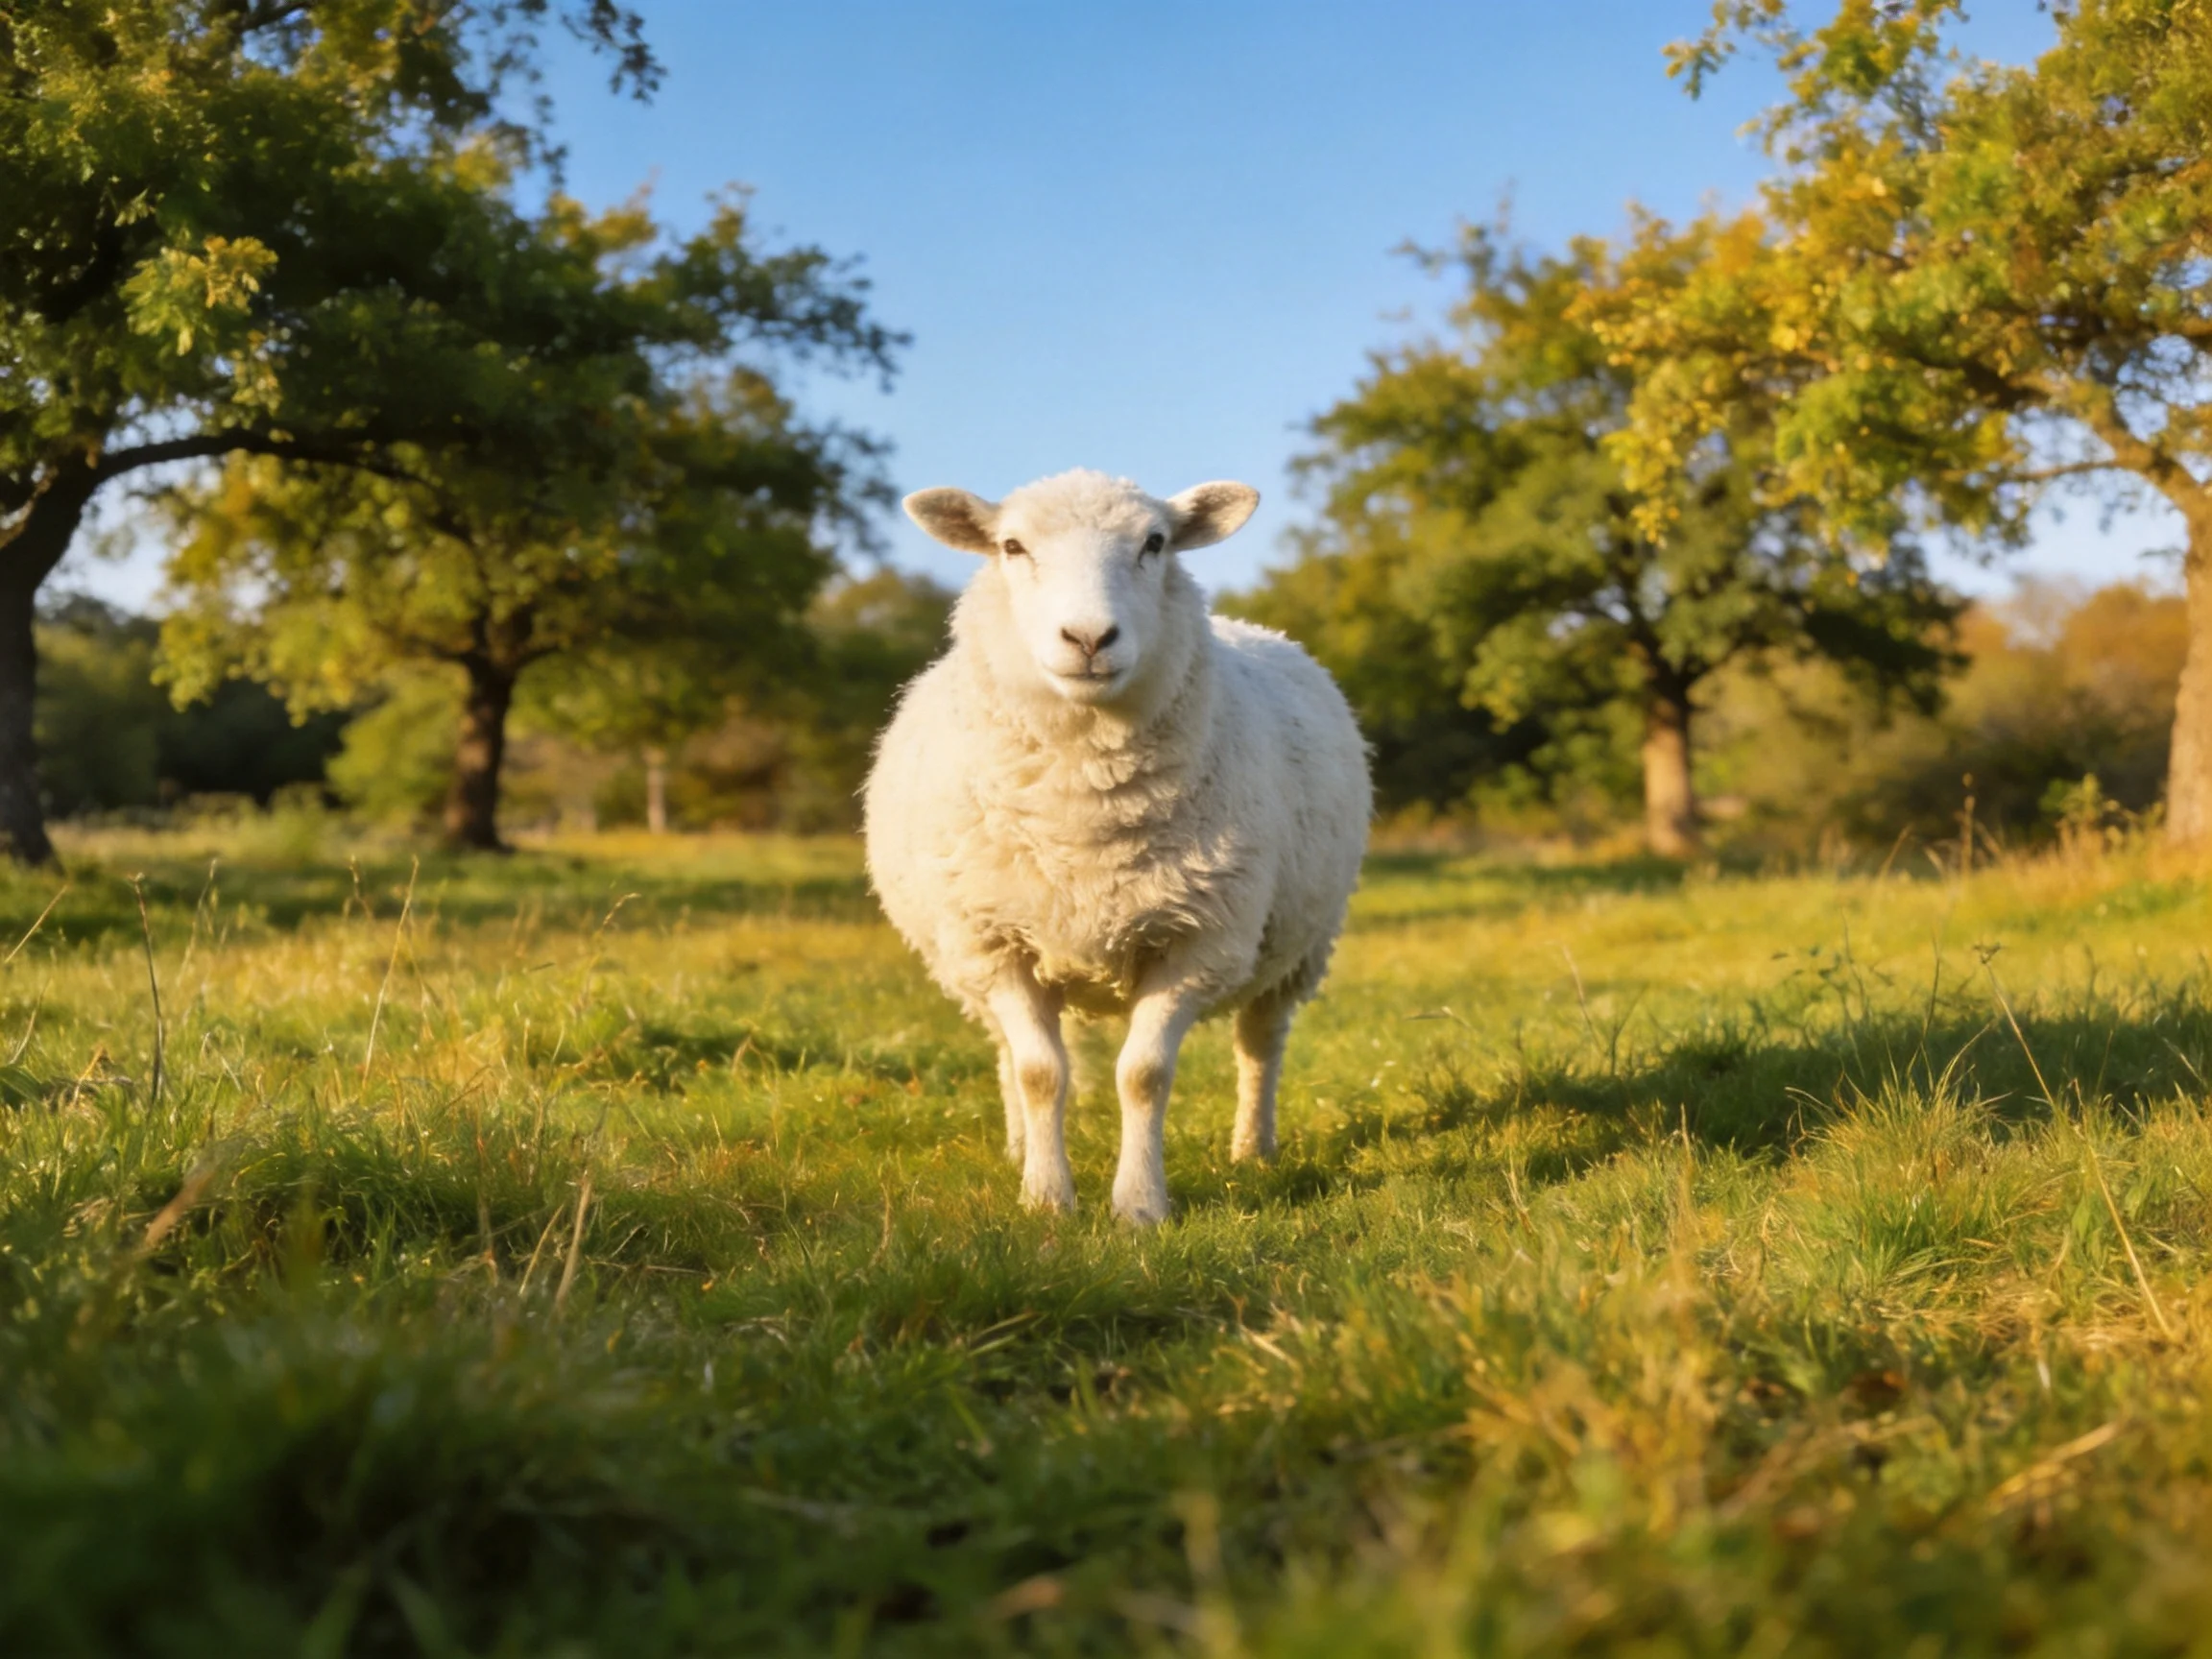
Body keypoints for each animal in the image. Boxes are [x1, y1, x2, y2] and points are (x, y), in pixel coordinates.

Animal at [863, 468, 1371, 1224]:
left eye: (1154, 543)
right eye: (1011, 547)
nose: (1089, 637)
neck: (1085, 817)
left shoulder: (1197, 942)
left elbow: (1143, 1075)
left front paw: (1139, 1206)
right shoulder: (995, 942)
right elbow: (1039, 1072)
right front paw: (1046, 1196)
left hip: (1297, 946)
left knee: (1260, 1045)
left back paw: (1253, 1148)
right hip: (969, 959)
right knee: (1006, 1051)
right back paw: (1019, 1146)